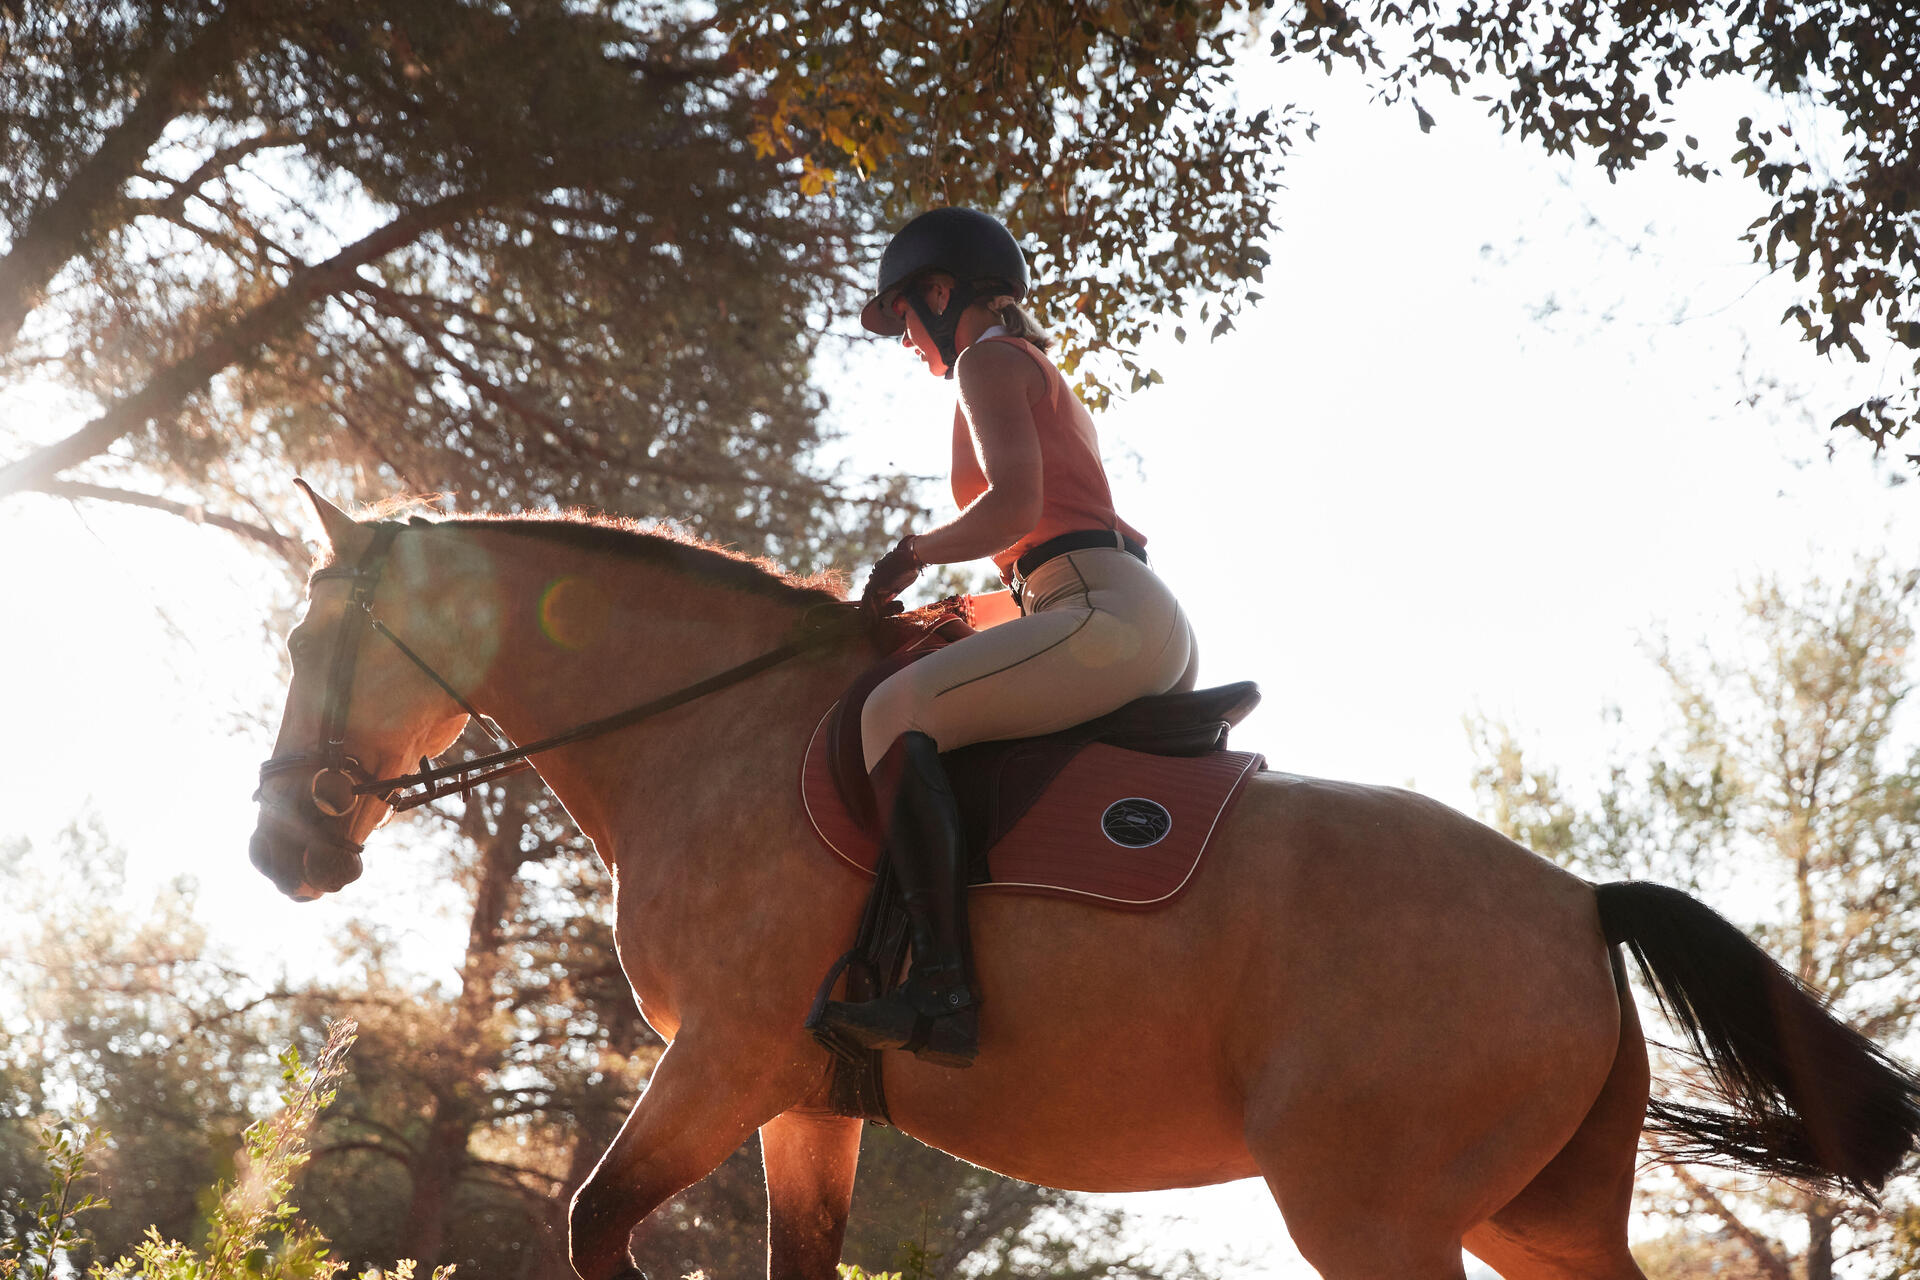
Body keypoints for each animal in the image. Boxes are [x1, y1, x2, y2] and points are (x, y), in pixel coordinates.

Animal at [251, 483, 1920, 1280]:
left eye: (305, 639)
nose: (282, 850)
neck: (713, 731)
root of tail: (1578, 905)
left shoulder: (724, 1058)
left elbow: (597, 1227)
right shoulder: (799, 1096)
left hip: (1375, 1216)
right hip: (1538, 1217)